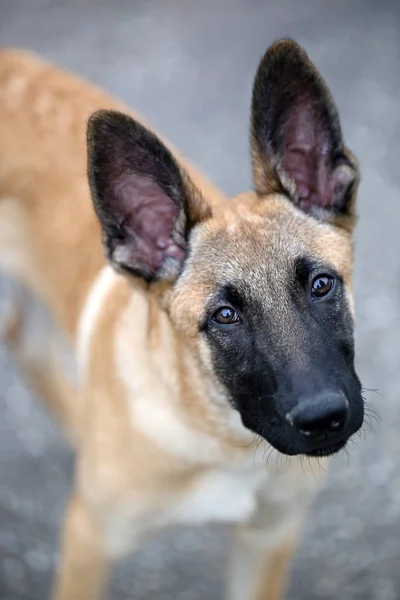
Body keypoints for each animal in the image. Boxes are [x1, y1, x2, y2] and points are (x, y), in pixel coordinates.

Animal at [0, 38, 362, 600]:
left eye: (321, 285)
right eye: (224, 316)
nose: (324, 417)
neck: (224, 440)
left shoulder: (268, 537)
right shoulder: (89, 537)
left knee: (24, 336)